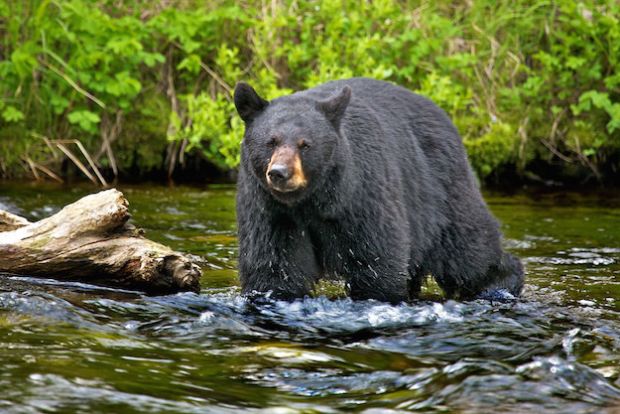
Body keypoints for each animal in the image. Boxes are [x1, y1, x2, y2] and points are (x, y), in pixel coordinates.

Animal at [232, 78, 524, 304]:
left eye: (305, 144)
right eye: (271, 141)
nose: (279, 172)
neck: (314, 201)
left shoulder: (361, 196)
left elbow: (376, 259)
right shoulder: (271, 212)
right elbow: (275, 266)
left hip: (443, 191)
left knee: (468, 251)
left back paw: (499, 283)